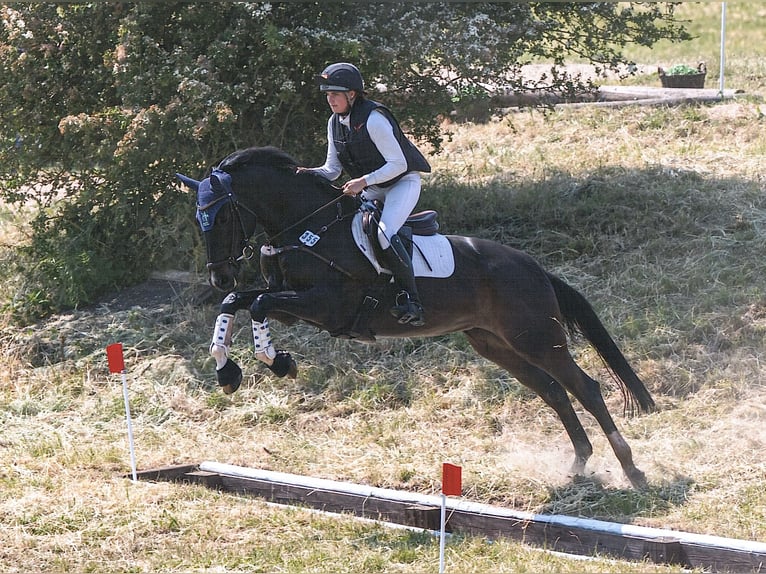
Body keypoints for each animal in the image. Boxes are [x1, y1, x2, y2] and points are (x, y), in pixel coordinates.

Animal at [177, 146, 656, 488]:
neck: (307, 229)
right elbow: (238, 302)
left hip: (537, 338)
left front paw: (277, 363)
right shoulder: (294, 305)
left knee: (586, 389)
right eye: (200, 219)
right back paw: (578, 465)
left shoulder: (326, 306)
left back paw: (632, 471)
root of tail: (535, 268)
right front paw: (228, 371)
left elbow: (256, 304)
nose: (218, 275)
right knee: (554, 391)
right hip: (497, 344)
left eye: (222, 216)